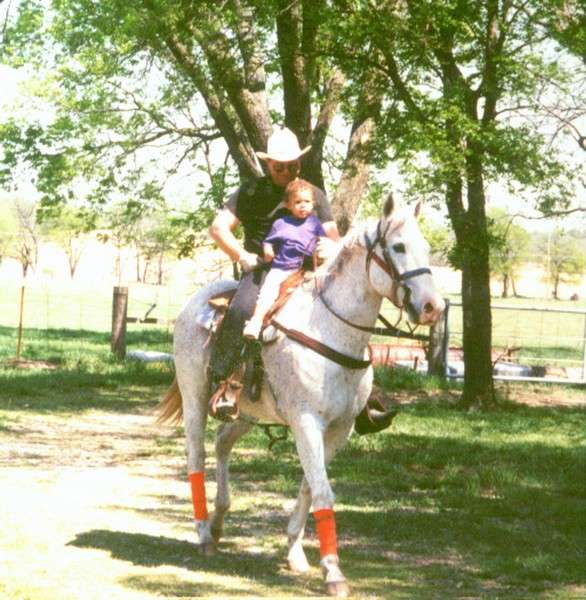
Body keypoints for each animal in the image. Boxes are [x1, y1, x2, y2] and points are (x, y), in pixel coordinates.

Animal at [158, 194, 445, 597]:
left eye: (427, 248)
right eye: (398, 247)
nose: (434, 307)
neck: (331, 330)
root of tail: (198, 301)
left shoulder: (339, 429)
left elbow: (311, 488)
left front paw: (296, 553)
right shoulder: (307, 422)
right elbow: (323, 492)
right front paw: (334, 572)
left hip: (246, 412)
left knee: (222, 442)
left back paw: (217, 523)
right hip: (194, 396)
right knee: (196, 457)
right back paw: (202, 533)